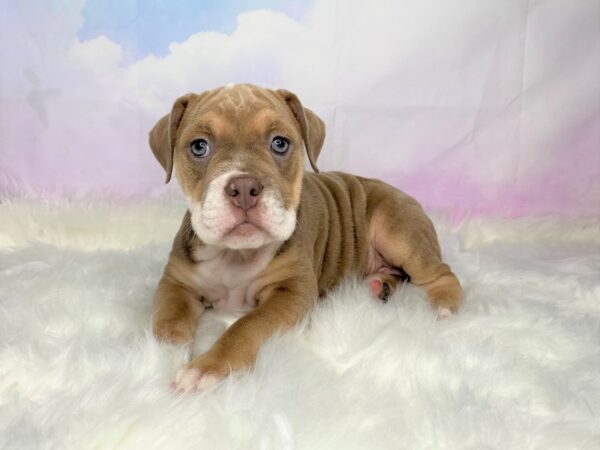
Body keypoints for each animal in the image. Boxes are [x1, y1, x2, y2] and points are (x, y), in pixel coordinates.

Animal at [148, 84, 462, 394]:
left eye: (280, 144)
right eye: (199, 146)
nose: (244, 186)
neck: (236, 254)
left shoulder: (291, 292)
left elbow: (247, 325)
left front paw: (208, 368)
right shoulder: (176, 283)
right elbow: (168, 320)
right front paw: (164, 355)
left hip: (398, 231)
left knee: (440, 274)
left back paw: (442, 307)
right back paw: (378, 287)